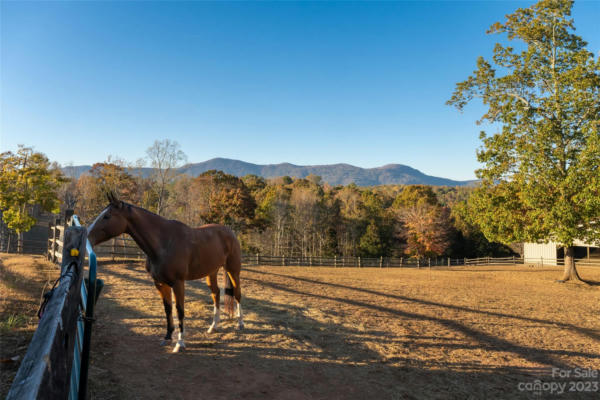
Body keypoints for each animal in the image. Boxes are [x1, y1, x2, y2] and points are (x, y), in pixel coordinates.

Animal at [86, 194, 244, 354]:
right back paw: (213, 326)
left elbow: (180, 310)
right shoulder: (160, 283)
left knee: (237, 294)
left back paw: (240, 323)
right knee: (216, 294)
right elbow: (167, 308)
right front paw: (167, 337)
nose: (87, 236)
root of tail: (229, 232)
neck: (164, 243)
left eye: (107, 216)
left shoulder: (178, 283)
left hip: (233, 270)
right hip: (211, 273)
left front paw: (180, 343)